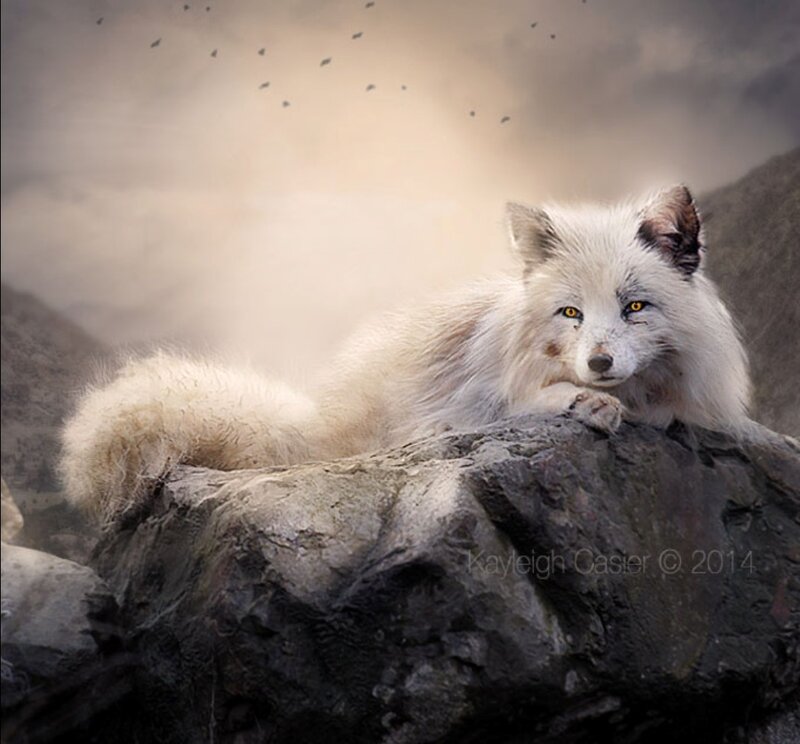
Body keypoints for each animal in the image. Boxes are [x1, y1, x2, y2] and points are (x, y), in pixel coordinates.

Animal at [60, 185, 751, 522]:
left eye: (635, 307)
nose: (599, 365)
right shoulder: (480, 399)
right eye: (571, 313)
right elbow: (534, 398)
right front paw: (586, 402)